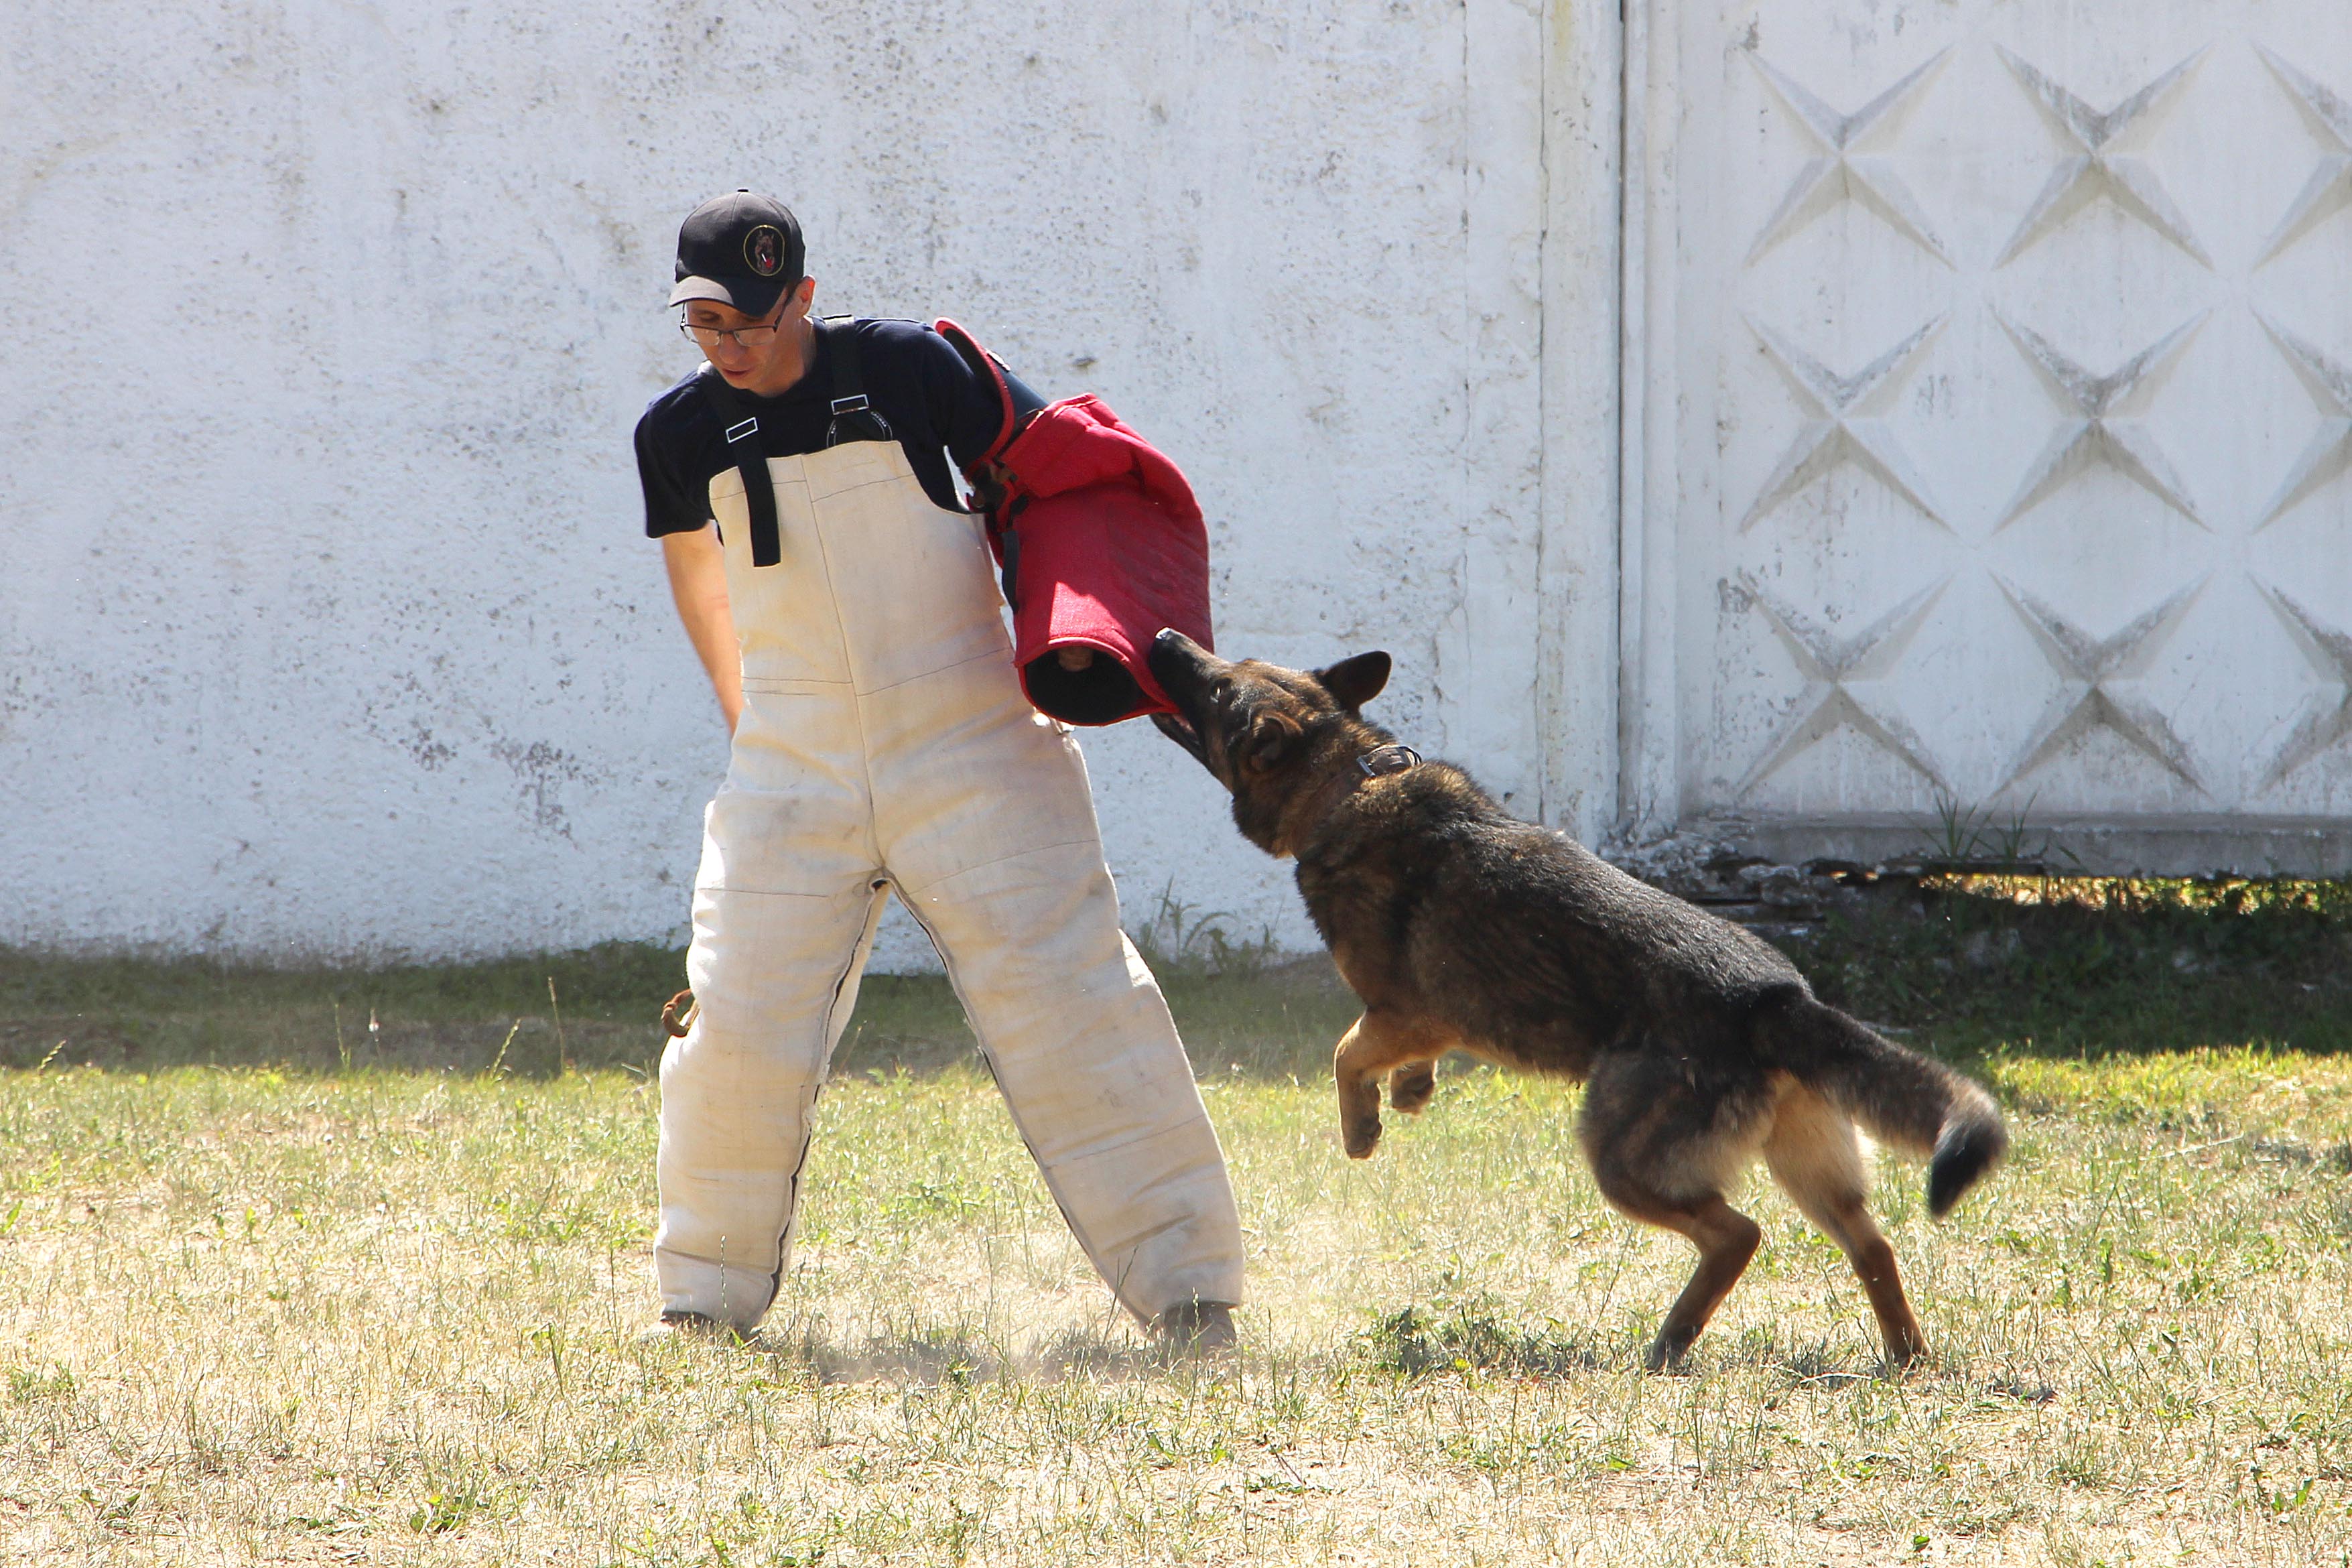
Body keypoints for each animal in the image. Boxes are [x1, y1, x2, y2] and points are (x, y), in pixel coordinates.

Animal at [1138, 630, 2004, 1363]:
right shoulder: (1426, 1022)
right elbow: (1398, 1059)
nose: (1166, 638)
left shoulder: (1401, 1011)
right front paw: (1412, 1091)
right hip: (1811, 1166)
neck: (1345, 781)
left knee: (1738, 1234)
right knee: (1872, 1245)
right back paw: (1902, 1355)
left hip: (1622, 1156)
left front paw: (1362, 1127)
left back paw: (1672, 1342)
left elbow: (1345, 1054)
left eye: (1216, 688)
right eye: (1225, 666)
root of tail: (1774, 999)